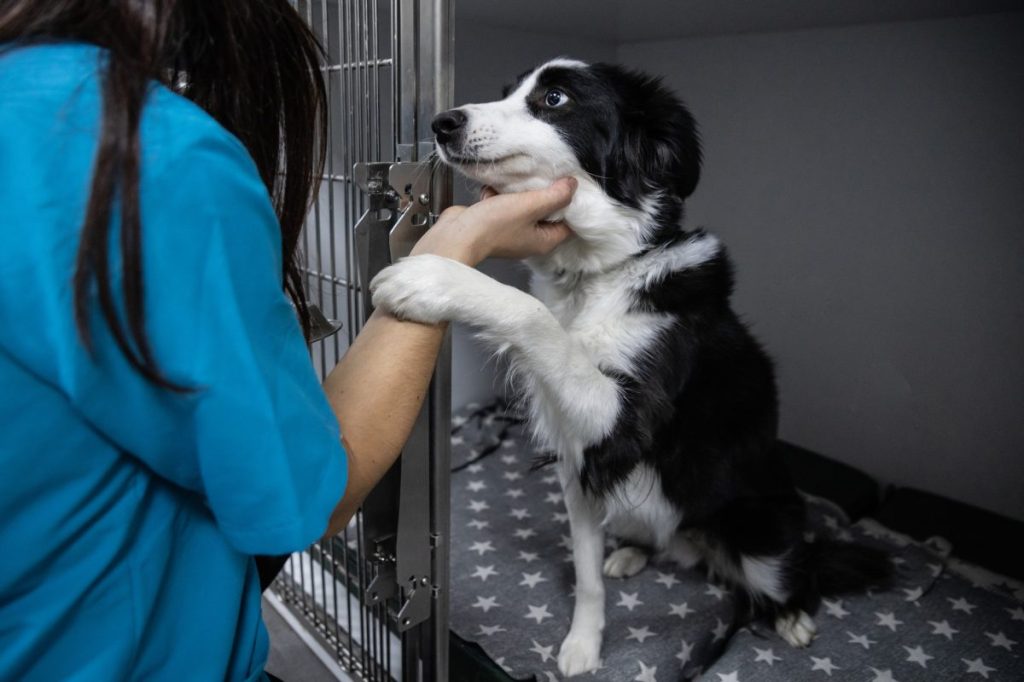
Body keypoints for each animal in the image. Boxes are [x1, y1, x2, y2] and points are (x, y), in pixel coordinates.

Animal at [368, 58, 888, 675]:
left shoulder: (625, 424)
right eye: (508, 93)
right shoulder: (581, 460)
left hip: (762, 534)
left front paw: (432, 278)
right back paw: (632, 553)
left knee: (794, 573)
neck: (596, 270)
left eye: (555, 98)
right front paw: (583, 644)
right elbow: (587, 575)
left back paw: (791, 616)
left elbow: (533, 314)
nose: (442, 123)